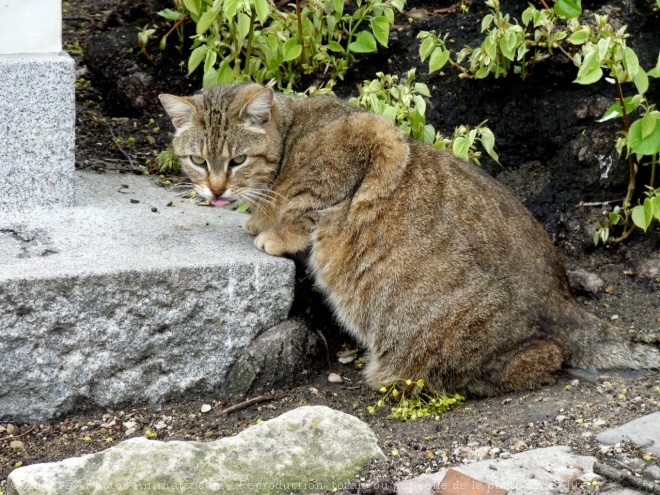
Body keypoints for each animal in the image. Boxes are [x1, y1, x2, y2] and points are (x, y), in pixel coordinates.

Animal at [160, 83, 660, 398]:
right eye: (198, 160)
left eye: (237, 160)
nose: (216, 190)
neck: (293, 136)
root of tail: (567, 302)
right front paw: (257, 217)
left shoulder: (373, 139)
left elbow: (309, 206)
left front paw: (275, 229)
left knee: (545, 357)